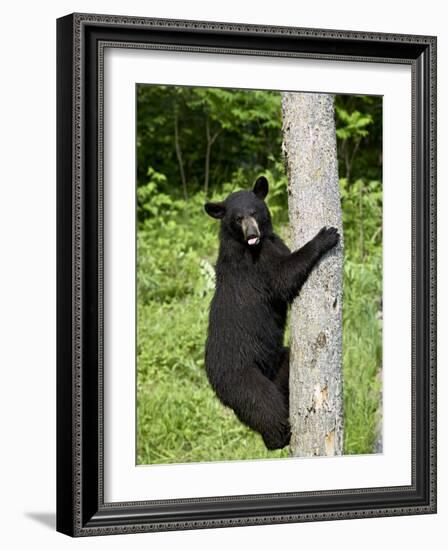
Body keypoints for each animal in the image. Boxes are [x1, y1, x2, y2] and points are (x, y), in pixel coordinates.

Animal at [204, 179, 340, 450]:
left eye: (254, 212)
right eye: (238, 218)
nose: (252, 235)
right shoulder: (256, 265)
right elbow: (283, 277)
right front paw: (326, 236)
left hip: (275, 363)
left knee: (284, 367)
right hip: (241, 377)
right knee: (263, 404)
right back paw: (280, 436)